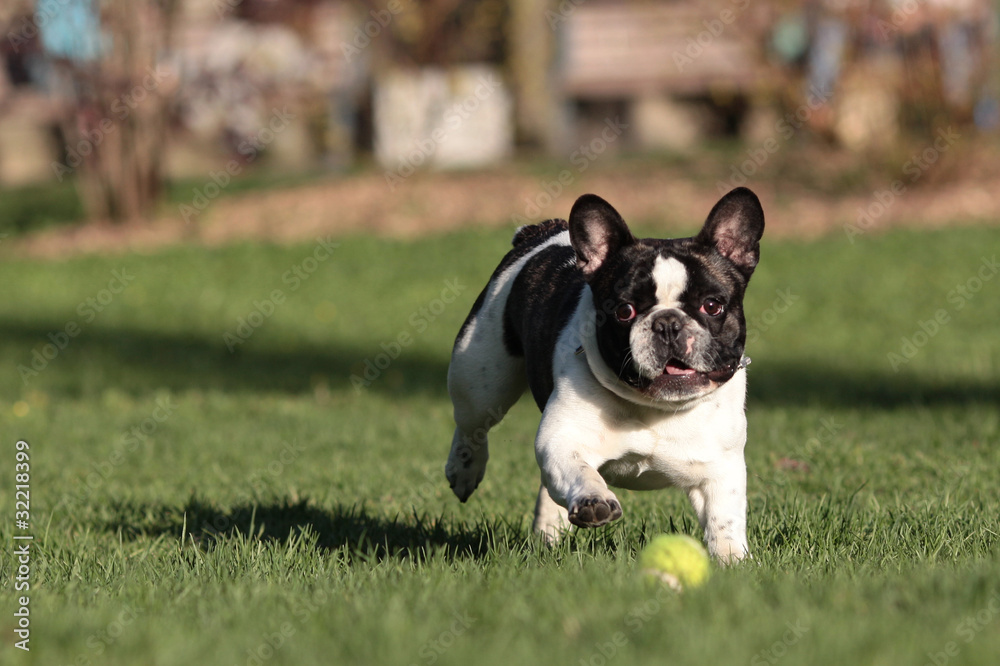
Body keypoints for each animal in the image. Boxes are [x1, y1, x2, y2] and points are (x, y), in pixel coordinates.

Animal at [442, 187, 760, 560]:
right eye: (624, 311)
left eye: (712, 305)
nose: (667, 323)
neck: (655, 406)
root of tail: (540, 231)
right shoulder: (562, 438)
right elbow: (579, 471)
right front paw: (594, 500)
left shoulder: (720, 469)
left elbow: (724, 518)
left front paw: (732, 560)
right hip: (480, 375)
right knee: (472, 425)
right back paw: (463, 471)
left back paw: (549, 530)